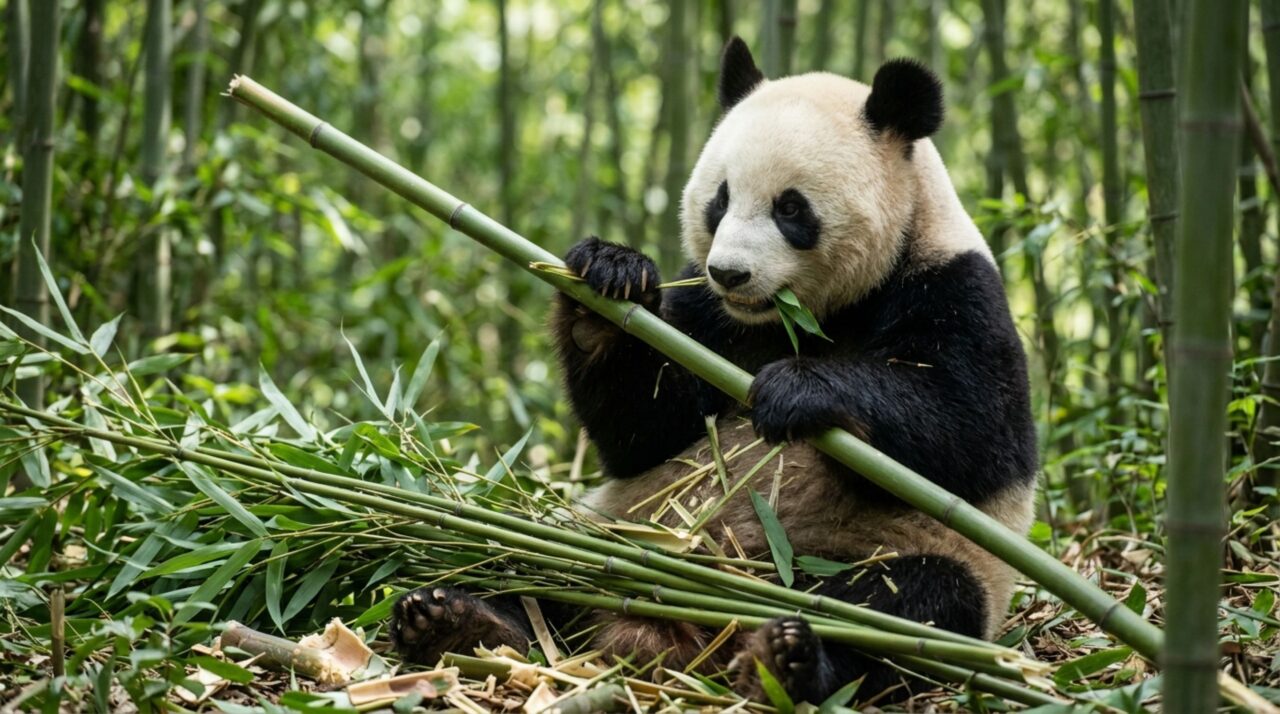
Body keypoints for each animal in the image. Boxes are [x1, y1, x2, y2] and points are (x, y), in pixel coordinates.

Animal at [390, 37, 1038, 705]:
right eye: (720, 199)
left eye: (791, 208)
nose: (730, 272)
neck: (802, 318)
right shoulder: (706, 315)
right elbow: (645, 432)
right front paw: (608, 281)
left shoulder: (955, 289)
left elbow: (970, 432)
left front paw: (795, 390)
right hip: (614, 529)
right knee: (523, 555)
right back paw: (462, 621)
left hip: (892, 560)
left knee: (904, 606)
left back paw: (785, 658)